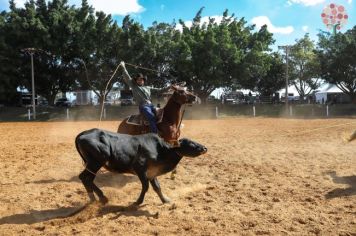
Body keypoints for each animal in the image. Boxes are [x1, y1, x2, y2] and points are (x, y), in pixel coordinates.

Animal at [76, 129, 207, 205]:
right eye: (190, 143)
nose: (205, 148)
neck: (160, 150)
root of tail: (82, 134)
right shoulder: (140, 170)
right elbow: (146, 187)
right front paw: (138, 202)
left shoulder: (152, 172)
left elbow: (157, 187)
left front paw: (165, 200)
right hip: (95, 163)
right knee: (85, 178)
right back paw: (102, 198)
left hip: (93, 165)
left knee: (86, 179)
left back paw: (94, 199)